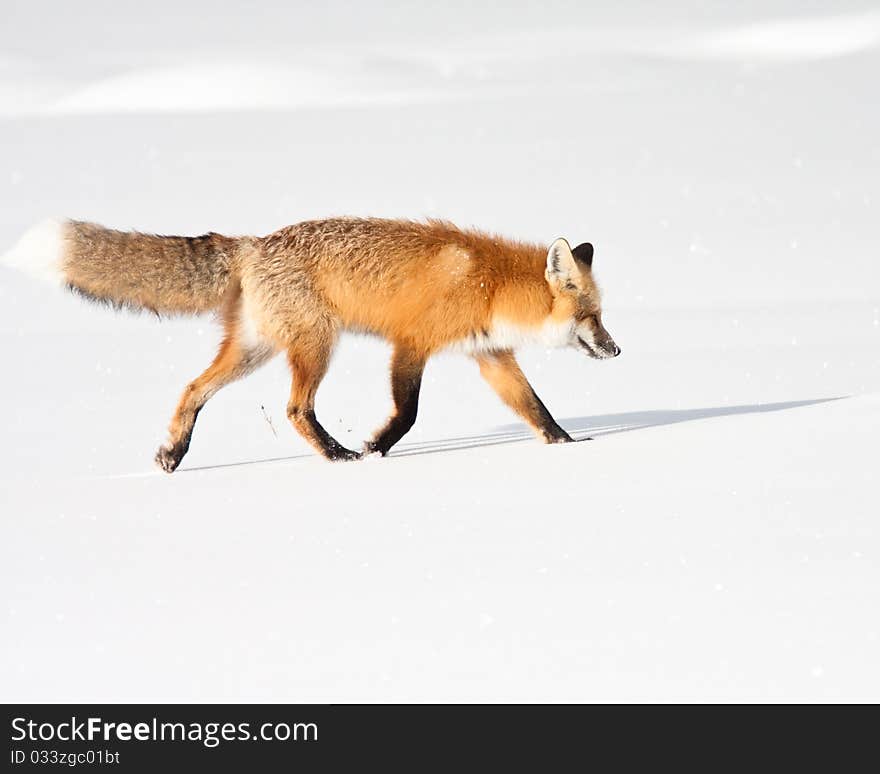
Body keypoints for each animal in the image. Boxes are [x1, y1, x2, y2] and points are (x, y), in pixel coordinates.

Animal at [1, 218, 620, 472]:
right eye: (592, 317)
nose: (616, 352)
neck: (490, 285)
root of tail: (252, 244)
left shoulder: (489, 356)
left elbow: (535, 408)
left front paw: (566, 445)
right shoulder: (411, 344)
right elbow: (409, 413)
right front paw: (374, 450)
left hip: (255, 351)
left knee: (193, 388)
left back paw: (174, 452)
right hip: (317, 345)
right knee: (296, 409)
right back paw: (337, 456)